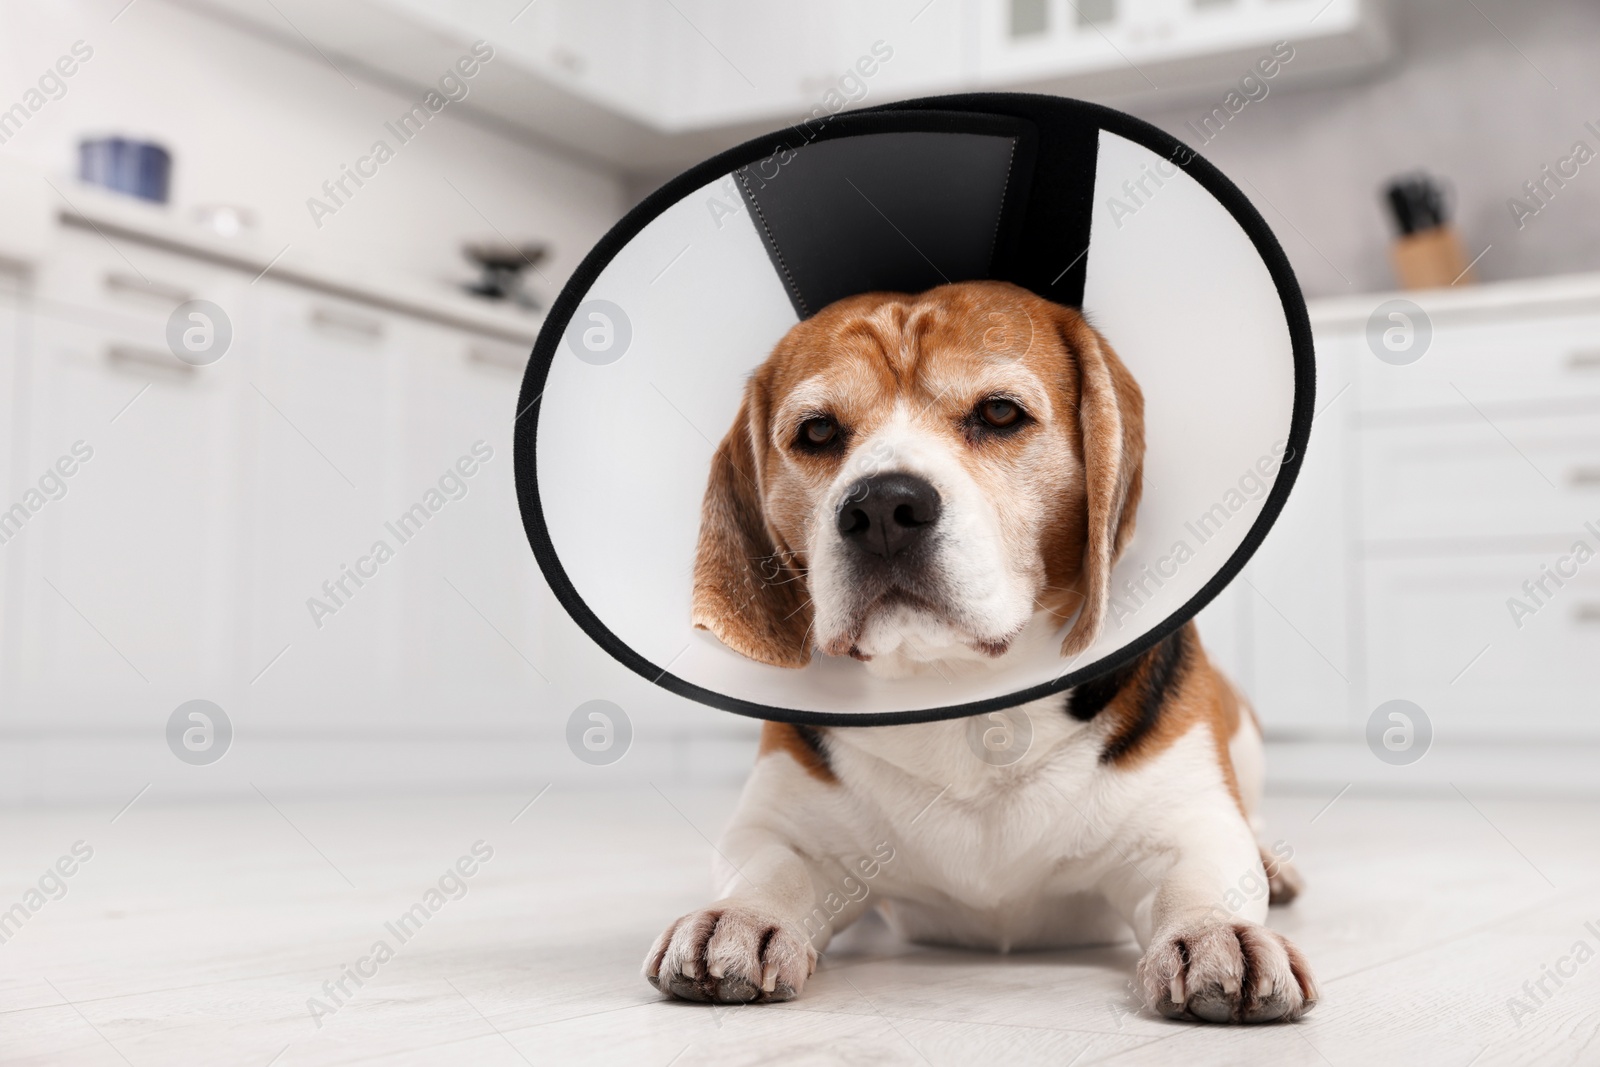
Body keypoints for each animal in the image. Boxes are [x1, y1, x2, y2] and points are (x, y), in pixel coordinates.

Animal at [643, 279, 1318, 1023]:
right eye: (817, 432)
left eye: (998, 412)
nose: (881, 508)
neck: (961, 691)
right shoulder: (779, 823)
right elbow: (769, 867)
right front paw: (739, 918)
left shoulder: (1189, 821)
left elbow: (1201, 879)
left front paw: (1217, 933)